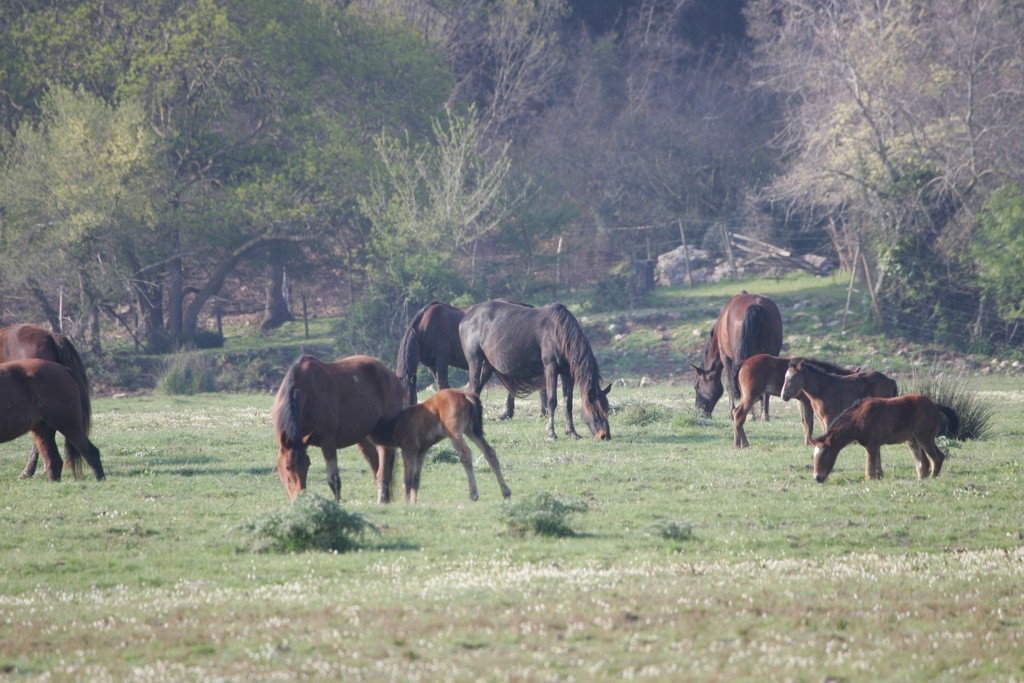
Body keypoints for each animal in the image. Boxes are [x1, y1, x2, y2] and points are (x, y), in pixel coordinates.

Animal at [272, 354, 406, 503]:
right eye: (288, 467)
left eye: (307, 465)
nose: (300, 498)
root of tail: (392, 377)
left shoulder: (328, 441)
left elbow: (333, 479)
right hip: (365, 438)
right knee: (376, 467)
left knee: (383, 470)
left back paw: (381, 500)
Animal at [375, 389, 511, 503]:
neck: (397, 422)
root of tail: (464, 394)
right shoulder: (421, 451)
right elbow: (415, 479)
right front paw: (413, 503)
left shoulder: (409, 450)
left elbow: (407, 480)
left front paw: (406, 503)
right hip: (471, 430)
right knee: (489, 451)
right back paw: (506, 492)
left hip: (454, 432)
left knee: (465, 453)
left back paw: (474, 494)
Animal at [459, 300, 611, 440]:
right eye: (594, 409)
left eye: (607, 409)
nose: (604, 435)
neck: (558, 333)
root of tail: (466, 318)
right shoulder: (550, 367)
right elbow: (552, 401)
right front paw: (551, 434)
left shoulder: (567, 373)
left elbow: (568, 403)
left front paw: (572, 432)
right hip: (475, 361)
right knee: (473, 388)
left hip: (488, 365)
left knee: (477, 390)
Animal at [809, 394, 960, 482]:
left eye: (825, 454)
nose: (817, 477)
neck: (858, 418)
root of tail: (935, 405)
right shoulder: (874, 445)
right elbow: (877, 463)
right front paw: (879, 477)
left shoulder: (872, 445)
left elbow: (870, 466)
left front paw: (870, 480)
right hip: (912, 441)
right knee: (923, 463)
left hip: (925, 438)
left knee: (938, 457)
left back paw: (932, 478)